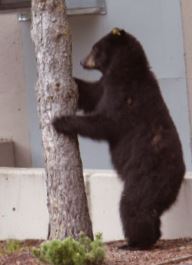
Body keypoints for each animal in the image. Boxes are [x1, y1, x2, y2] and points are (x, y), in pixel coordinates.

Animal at [53, 27, 185, 249]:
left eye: (94, 48)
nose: (81, 61)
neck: (124, 69)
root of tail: (179, 175)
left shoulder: (127, 96)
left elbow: (106, 122)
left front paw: (60, 121)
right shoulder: (106, 85)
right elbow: (92, 93)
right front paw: (72, 81)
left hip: (146, 175)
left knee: (133, 204)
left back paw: (135, 242)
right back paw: (151, 237)